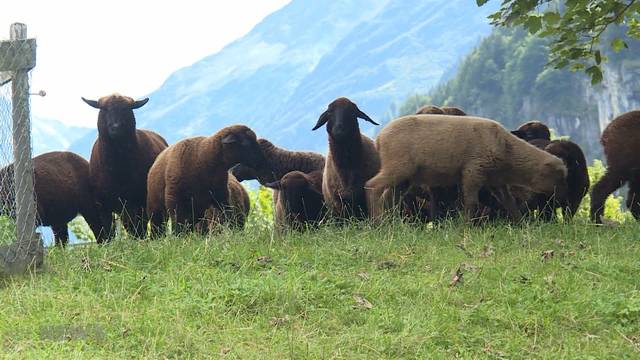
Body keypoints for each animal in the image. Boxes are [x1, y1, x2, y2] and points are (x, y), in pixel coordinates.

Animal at [82, 93, 168, 240]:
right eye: (104, 109)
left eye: (126, 109)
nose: (116, 127)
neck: (118, 168)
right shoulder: (102, 204)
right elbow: (108, 230)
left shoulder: (139, 200)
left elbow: (140, 226)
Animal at [368, 115, 568, 222]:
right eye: (559, 178)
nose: (562, 198)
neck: (507, 149)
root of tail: (379, 139)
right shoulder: (473, 170)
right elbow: (471, 202)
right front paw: (466, 226)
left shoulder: (495, 180)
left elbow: (508, 201)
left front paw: (520, 222)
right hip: (398, 166)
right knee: (373, 186)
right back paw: (378, 221)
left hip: (405, 176)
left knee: (390, 197)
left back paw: (392, 222)